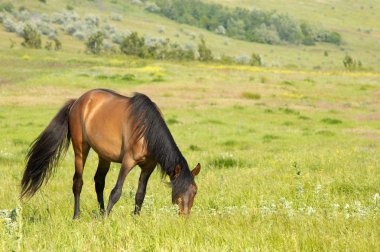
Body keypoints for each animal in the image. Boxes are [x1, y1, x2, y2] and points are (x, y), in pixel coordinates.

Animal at [20, 88, 202, 219]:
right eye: (178, 191)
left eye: (195, 191)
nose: (185, 217)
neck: (147, 131)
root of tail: (77, 101)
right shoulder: (128, 161)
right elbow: (116, 192)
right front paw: (107, 218)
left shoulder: (148, 167)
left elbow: (140, 194)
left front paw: (135, 218)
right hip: (80, 149)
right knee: (78, 182)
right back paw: (77, 216)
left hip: (104, 156)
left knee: (99, 182)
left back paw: (100, 212)